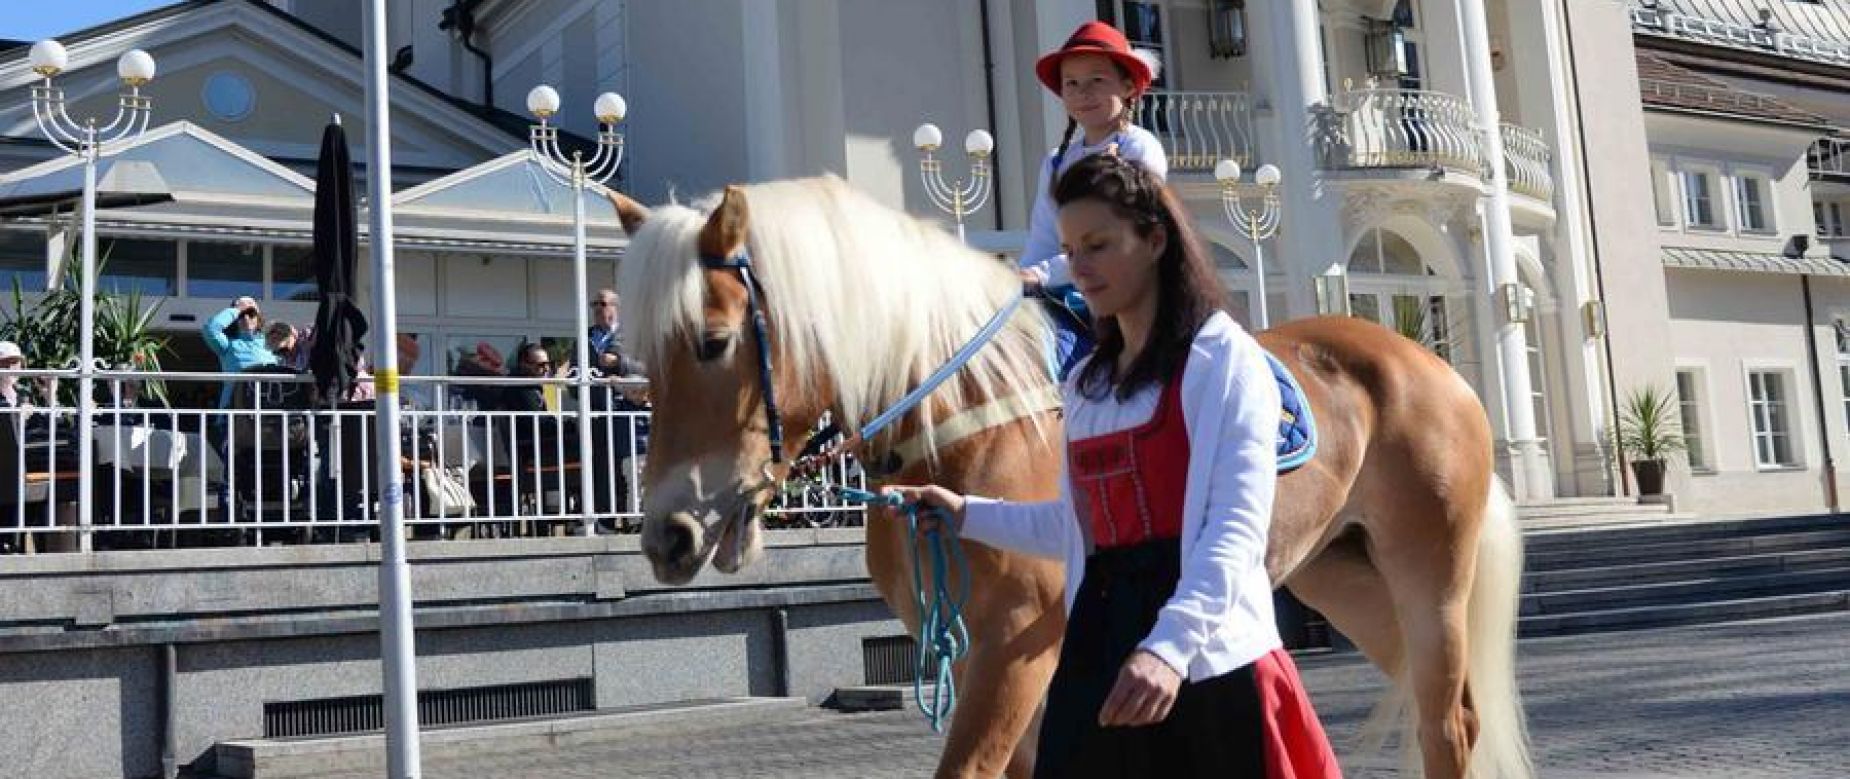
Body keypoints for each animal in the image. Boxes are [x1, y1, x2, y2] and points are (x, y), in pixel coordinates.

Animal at [606, 175, 1531, 777]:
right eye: (637, 355)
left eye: (714, 340)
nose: (667, 534)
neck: (972, 417)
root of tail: (1432, 364)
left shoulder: (1017, 642)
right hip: (1345, 575)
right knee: (1447, 706)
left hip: (1428, 576)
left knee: (1447, 721)